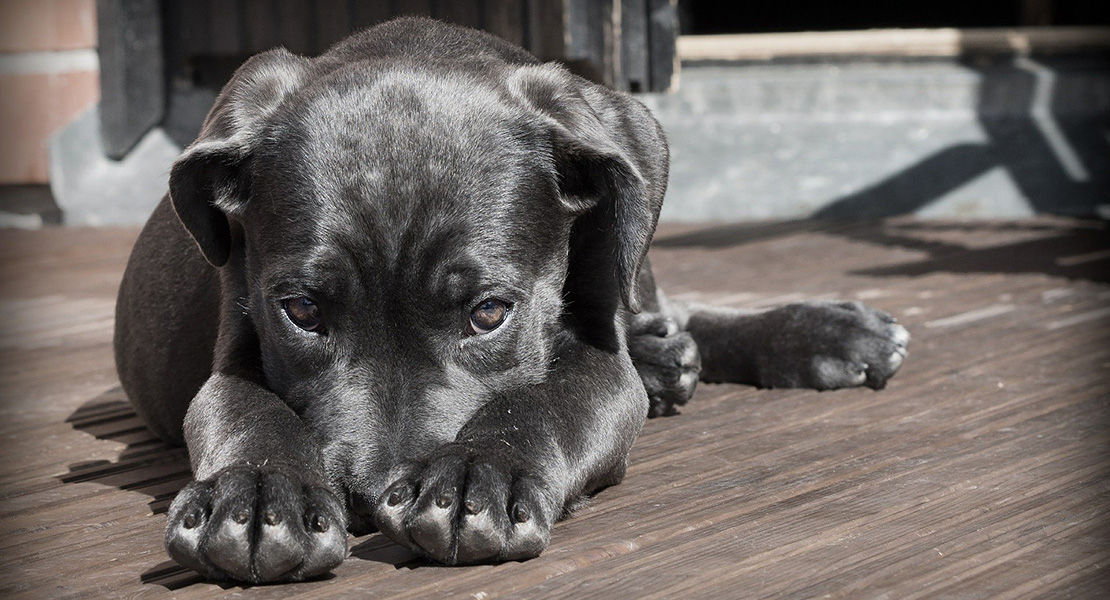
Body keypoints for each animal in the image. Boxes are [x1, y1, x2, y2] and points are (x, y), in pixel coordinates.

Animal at [114, 17, 910, 581]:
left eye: (490, 313)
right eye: (302, 313)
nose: (370, 498)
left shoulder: (598, 361)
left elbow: (545, 402)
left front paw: (477, 474)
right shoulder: (234, 348)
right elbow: (246, 410)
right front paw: (255, 495)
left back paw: (821, 334)